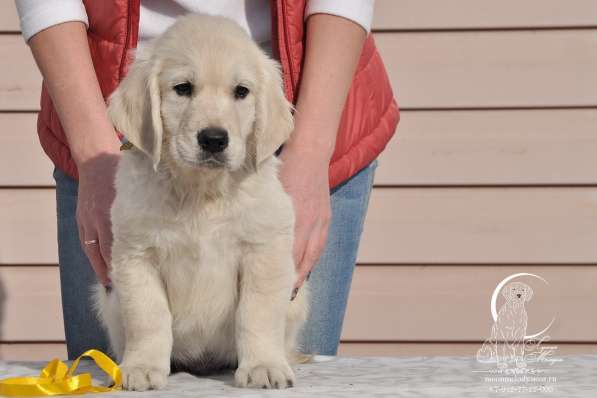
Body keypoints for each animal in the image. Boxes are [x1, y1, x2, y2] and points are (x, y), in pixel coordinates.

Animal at [94, 14, 308, 390]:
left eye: (241, 92)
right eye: (183, 88)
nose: (213, 139)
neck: (201, 192)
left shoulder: (264, 250)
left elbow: (257, 313)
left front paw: (263, 366)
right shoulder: (136, 256)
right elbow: (149, 317)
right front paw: (142, 367)